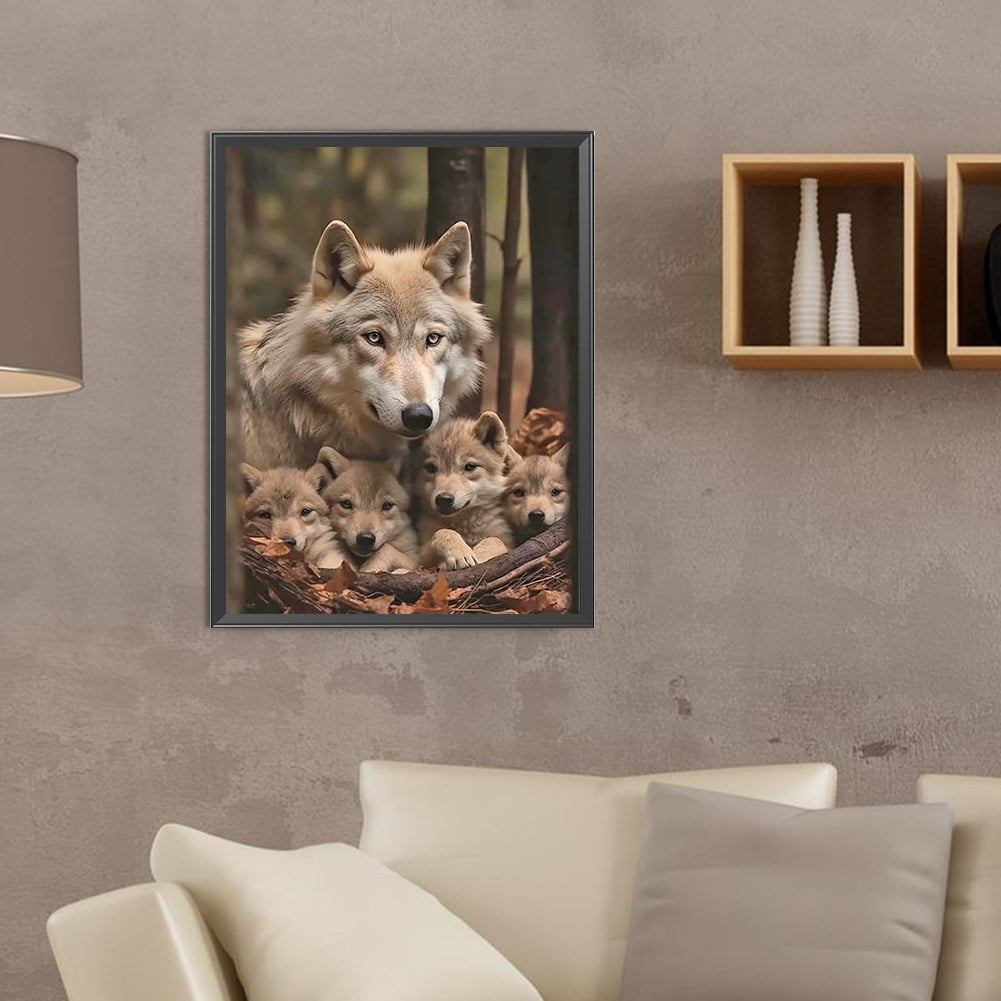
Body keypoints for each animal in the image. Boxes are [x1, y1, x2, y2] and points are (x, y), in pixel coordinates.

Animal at [416, 411, 515, 570]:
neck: (465, 524)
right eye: (430, 468)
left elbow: (495, 540)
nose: (444, 499)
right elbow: (443, 532)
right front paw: (460, 553)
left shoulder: (510, 544)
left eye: (470, 467)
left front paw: (479, 555)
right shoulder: (419, 558)